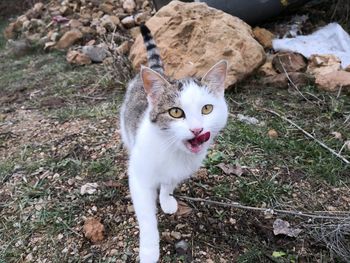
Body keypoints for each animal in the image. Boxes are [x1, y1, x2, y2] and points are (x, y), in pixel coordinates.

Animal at [119, 23, 230, 262]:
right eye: (176, 112)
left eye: (207, 109)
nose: (197, 129)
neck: (172, 150)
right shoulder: (140, 179)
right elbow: (147, 219)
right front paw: (149, 251)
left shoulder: (179, 170)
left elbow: (168, 184)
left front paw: (166, 199)